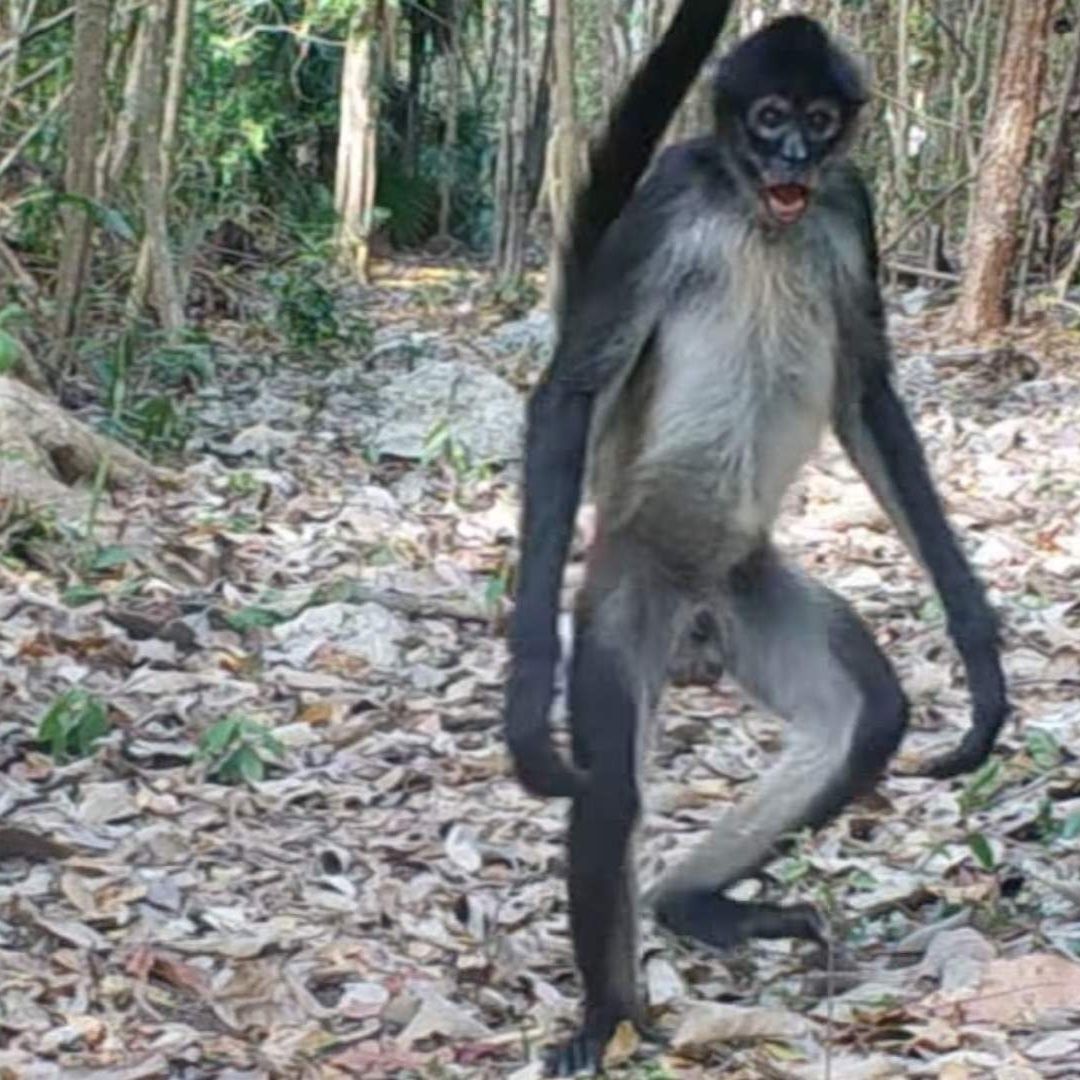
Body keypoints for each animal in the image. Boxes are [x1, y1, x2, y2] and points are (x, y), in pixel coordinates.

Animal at [504, 13, 1009, 1077]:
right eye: (770, 117)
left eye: (819, 122)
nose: (791, 160)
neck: (758, 213)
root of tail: (698, 597)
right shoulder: (670, 195)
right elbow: (572, 392)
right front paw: (526, 693)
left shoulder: (849, 205)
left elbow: (866, 394)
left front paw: (977, 645)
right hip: (631, 581)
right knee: (610, 794)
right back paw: (608, 1015)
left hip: (747, 583)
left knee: (868, 718)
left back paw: (690, 903)